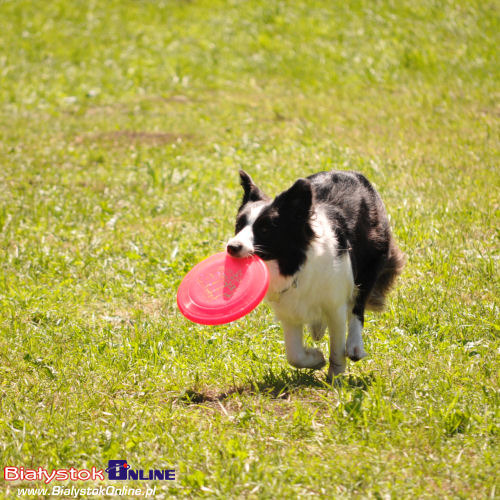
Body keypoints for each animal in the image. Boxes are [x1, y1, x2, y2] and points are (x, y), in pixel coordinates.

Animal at [228, 169, 406, 378]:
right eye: (239, 225)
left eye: (264, 229)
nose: (232, 247)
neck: (296, 265)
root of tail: (352, 173)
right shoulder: (289, 310)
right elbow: (294, 355)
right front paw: (315, 359)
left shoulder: (335, 305)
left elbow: (337, 348)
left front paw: (335, 378)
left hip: (371, 258)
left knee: (358, 306)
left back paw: (355, 345)